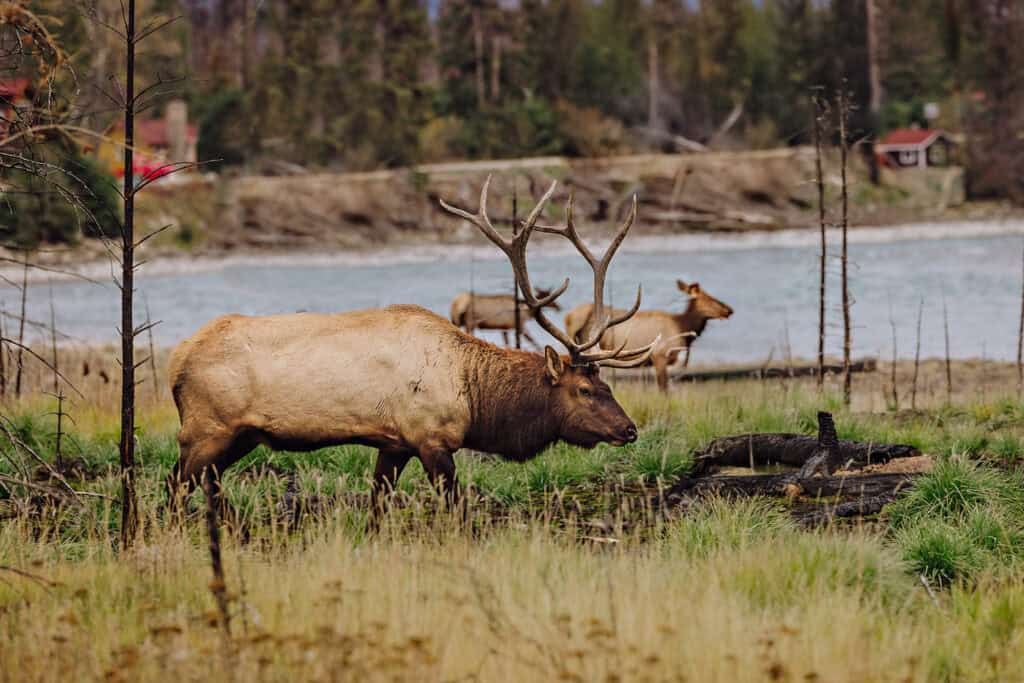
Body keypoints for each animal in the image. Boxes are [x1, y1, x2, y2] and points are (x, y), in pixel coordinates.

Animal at [166, 177, 658, 519]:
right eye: (585, 390)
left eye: (608, 386)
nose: (629, 429)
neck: (475, 396)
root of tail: (176, 362)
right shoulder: (432, 438)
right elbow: (456, 510)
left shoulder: (395, 442)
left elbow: (377, 506)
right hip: (207, 427)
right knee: (176, 485)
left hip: (240, 435)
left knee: (206, 485)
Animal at [564, 279, 733, 393]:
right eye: (708, 298)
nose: (729, 310)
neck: (682, 327)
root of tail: (568, 317)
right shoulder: (660, 355)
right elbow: (664, 390)